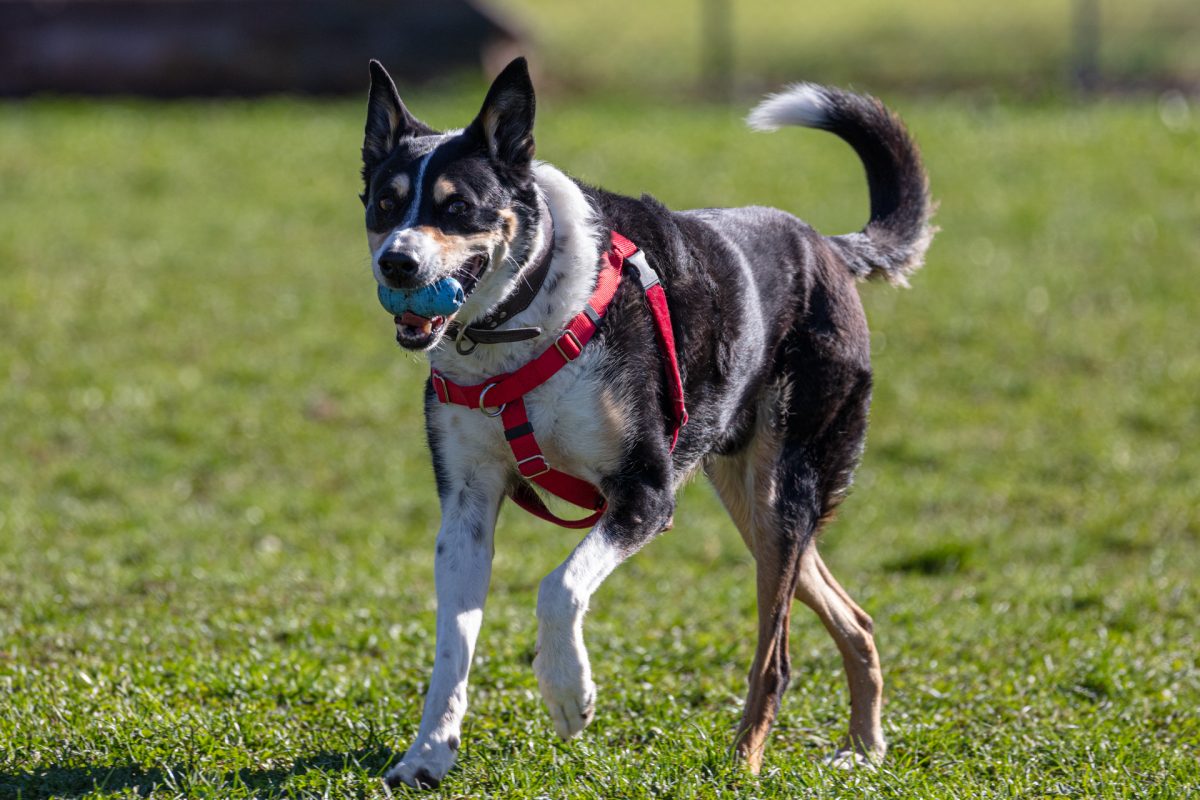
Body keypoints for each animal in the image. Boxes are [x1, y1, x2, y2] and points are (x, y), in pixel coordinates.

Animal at [360, 57, 931, 796]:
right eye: (384, 203)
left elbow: (558, 587)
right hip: (755, 507)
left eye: (457, 207)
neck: (520, 321)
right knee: (853, 619)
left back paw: (743, 763)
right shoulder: (466, 508)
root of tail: (828, 249)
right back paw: (863, 749)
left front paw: (568, 695)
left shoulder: (645, 494)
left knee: (773, 660)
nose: (396, 263)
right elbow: (453, 644)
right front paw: (428, 754)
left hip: (788, 492)